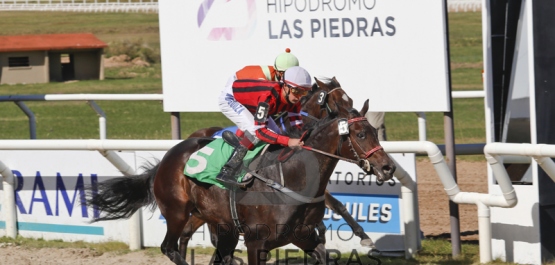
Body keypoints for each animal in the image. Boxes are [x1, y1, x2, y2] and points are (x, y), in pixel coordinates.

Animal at [87, 77, 396, 262]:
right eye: (360, 135)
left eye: (373, 132)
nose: (388, 167)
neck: (292, 178)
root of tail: (168, 157)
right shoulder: (256, 243)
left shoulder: (303, 236)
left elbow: (332, 221)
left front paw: (364, 237)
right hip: (177, 211)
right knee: (171, 246)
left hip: (214, 219)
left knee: (206, 245)